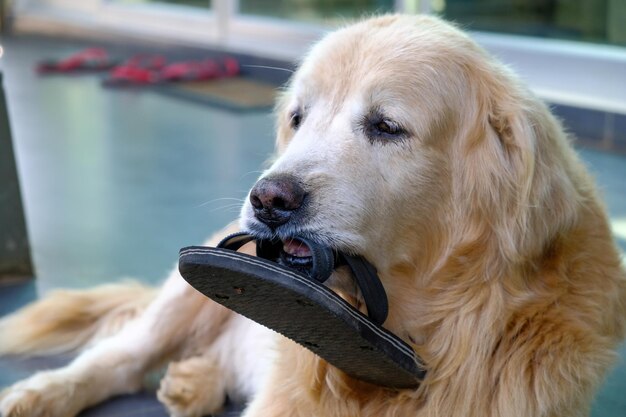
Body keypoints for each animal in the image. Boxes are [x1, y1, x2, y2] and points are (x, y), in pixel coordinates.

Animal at [1, 13, 624, 416]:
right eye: (298, 118)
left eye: (386, 126)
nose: (267, 199)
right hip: (179, 299)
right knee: (118, 359)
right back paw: (39, 395)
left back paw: (195, 382)